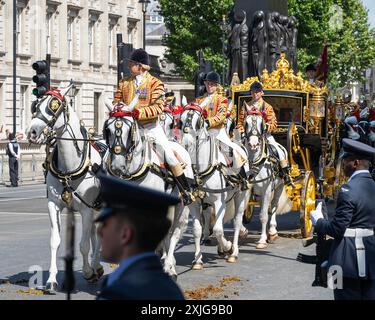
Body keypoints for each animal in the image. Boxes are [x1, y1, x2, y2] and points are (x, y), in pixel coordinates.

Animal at [26, 84, 103, 292]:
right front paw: (52, 280)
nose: (32, 132)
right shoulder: (54, 205)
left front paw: (87, 271)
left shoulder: (86, 209)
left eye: (54, 106)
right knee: (95, 233)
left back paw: (94, 266)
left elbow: (83, 244)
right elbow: (55, 241)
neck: (70, 167)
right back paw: (97, 267)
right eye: (35, 105)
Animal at [102, 101, 203, 278]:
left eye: (130, 130)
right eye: (108, 129)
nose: (117, 166)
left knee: (174, 231)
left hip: (181, 205)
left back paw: (169, 266)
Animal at [179, 104, 250, 262]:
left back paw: (233, 252)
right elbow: (197, 229)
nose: (185, 142)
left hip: (240, 195)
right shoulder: (194, 203)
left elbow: (218, 230)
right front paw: (198, 260)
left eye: (198, 122)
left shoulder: (219, 201)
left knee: (236, 221)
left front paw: (228, 247)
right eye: (180, 120)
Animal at [244, 109, 294, 249]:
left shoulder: (266, 190)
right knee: (265, 209)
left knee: (273, 207)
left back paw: (272, 231)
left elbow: (264, 215)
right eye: (246, 123)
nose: (253, 144)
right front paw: (242, 231)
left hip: (279, 187)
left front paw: (262, 240)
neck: (255, 163)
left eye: (262, 124)